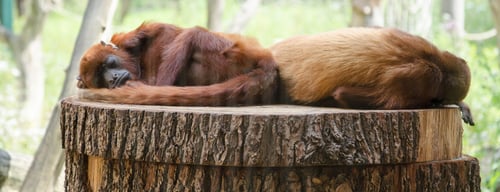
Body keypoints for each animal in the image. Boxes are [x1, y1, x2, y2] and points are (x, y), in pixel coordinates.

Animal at [80, 22, 280, 106]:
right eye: (100, 78)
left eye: (109, 64)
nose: (112, 79)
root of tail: (265, 58)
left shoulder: (140, 34)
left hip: (228, 53)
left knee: (193, 33)